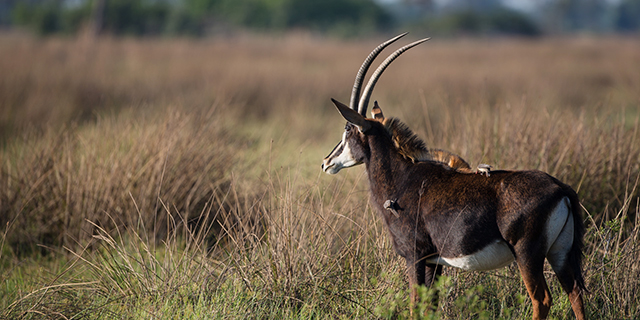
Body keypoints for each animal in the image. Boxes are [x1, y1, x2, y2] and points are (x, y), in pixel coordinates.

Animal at [322, 33, 588, 320]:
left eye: (348, 129)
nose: (326, 162)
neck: (402, 179)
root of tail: (560, 188)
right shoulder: (434, 261)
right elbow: (430, 305)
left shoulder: (415, 256)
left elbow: (415, 304)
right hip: (560, 253)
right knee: (575, 293)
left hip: (527, 254)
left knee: (542, 299)